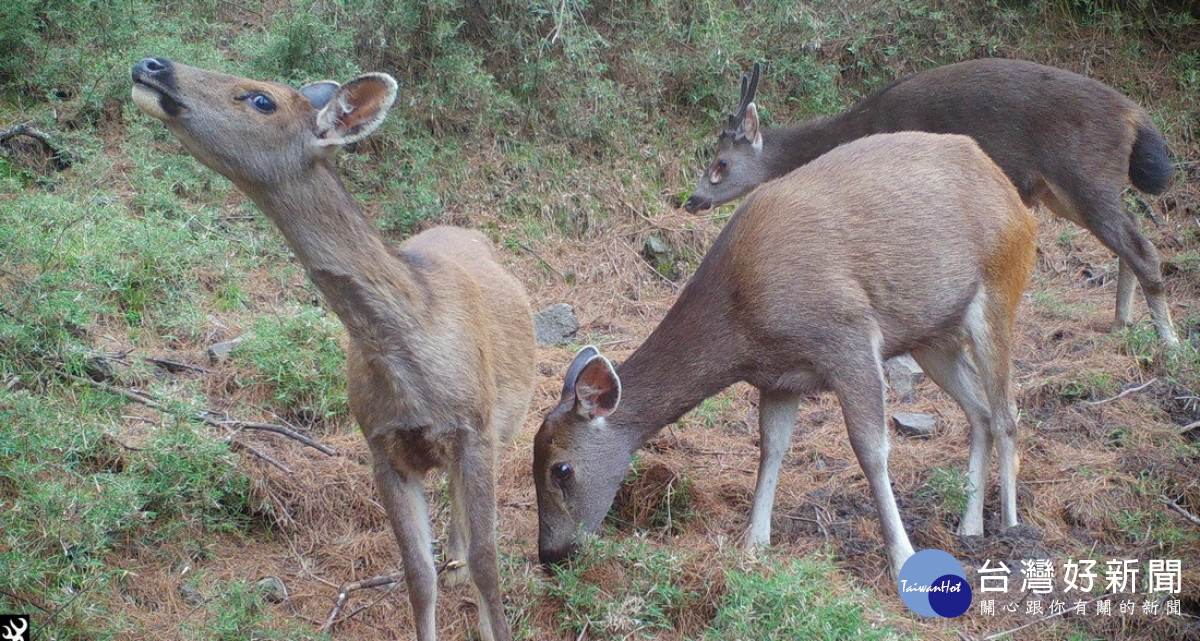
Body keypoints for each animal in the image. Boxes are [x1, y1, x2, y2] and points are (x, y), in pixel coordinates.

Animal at [130, 57, 535, 638]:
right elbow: (417, 573)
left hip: (506, 424)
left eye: (261, 99)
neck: (407, 356)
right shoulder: (381, 445)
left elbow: (489, 563)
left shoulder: (475, 430)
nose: (152, 64)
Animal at [535, 130, 1041, 583]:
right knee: (979, 411)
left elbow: (871, 449)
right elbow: (772, 447)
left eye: (561, 468)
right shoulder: (779, 377)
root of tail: (1016, 201)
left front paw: (902, 558)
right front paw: (754, 543)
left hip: (1001, 285)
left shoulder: (848, 334)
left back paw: (1011, 525)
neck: (743, 322)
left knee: (1007, 411)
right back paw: (969, 526)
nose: (550, 554)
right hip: (931, 336)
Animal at [686, 59, 1180, 350]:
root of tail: (1136, 117)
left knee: (1140, 247)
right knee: (1127, 242)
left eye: (721, 163)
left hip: (1084, 177)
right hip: (1073, 191)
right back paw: (1120, 323)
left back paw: (1169, 342)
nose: (692, 199)